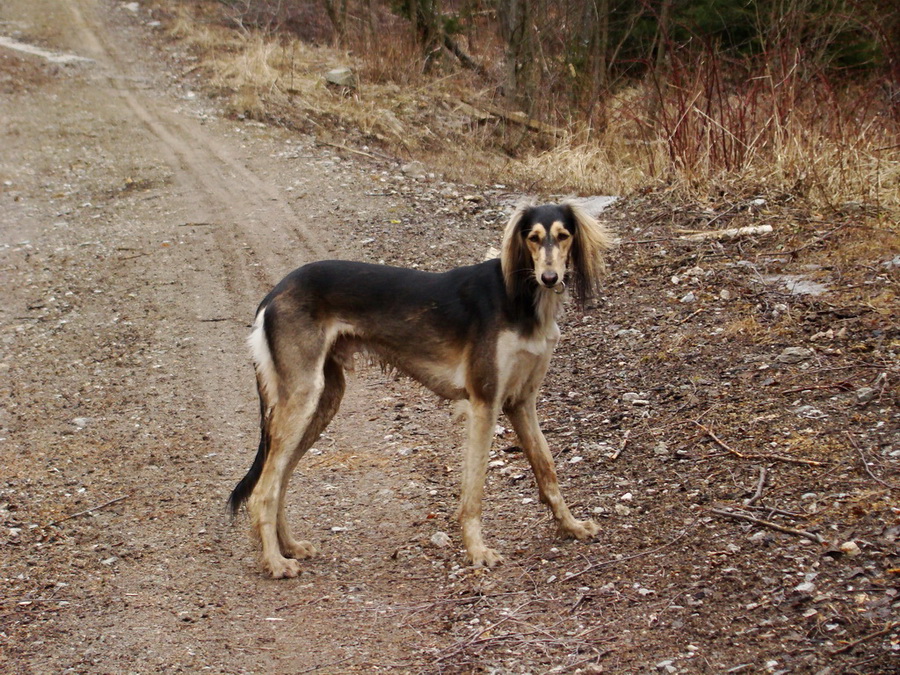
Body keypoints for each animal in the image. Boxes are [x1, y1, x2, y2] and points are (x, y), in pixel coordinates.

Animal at [229, 203, 616, 580]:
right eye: (532, 238)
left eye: (563, 236)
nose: (550, 278)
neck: (521, 297)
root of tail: (274, 292)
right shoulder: (484, 402)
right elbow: (474, 490)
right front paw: (477, 551)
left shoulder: (521, 402)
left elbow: (547, 469)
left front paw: (571, 526)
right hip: (302, 397)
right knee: (263, 489)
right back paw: (275, 562)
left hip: (323, 400)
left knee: (280, 479)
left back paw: (290, 547)